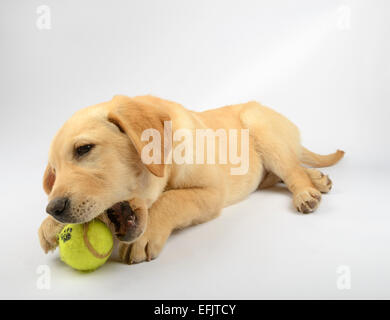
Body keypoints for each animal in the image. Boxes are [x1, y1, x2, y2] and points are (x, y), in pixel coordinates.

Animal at [38, 94, 344, 262]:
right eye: (54, 172)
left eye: (84, 149)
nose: (54, 208)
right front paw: (49, 226)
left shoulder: (211, 192)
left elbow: (171, 200)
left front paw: (146, 235)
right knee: (284, 170)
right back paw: (318, 179)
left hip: (260, 126)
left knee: (291, 168)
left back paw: (306, 191)